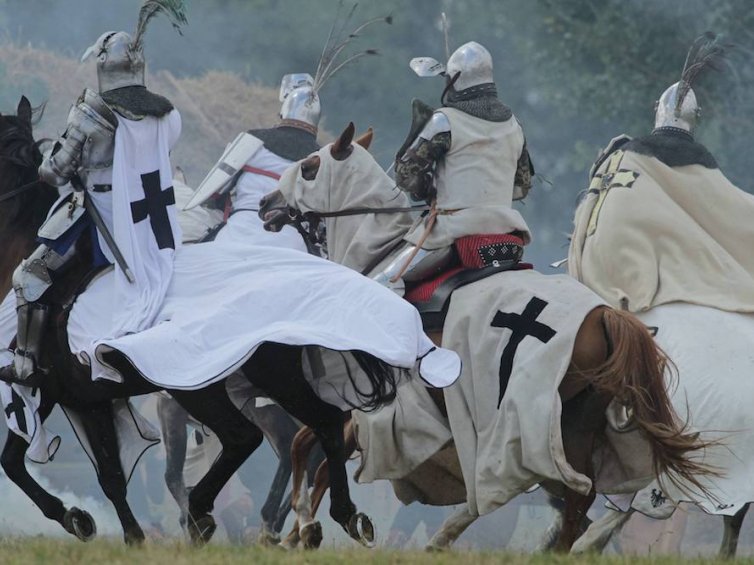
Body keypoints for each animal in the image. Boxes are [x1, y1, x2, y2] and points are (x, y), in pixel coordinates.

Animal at [258, 123, 712, 552]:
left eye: (310, 167)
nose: (266, 204)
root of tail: (604, 314)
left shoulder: (364, 405)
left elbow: (308, 448)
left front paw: (304, 526)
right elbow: (314, 454)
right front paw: (299, 531)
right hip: (574, 420)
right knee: (578, 494)